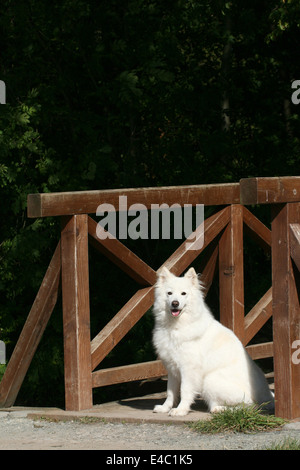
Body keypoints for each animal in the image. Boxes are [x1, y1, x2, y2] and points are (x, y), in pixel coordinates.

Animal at [152, 266, 274, 416]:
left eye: (183, 293)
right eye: (169, 293)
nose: (175, 303)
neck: (175, 326)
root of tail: (268, 397)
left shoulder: (188, 369)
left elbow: (184, 391)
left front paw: (181, 410)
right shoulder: (172, 369)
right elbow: (171, 392)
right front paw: (165, 408)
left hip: (209, 380)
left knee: (250, 406)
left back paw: (220, 409)